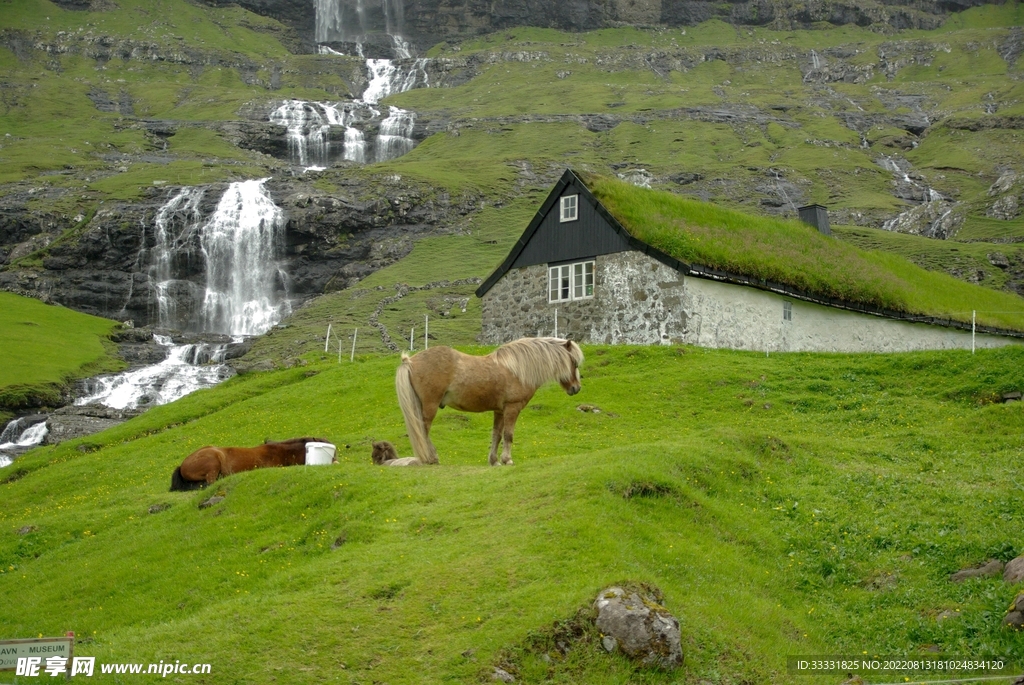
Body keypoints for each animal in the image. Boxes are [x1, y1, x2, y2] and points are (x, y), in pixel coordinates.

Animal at [394, 337, 583, 466]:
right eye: (574, 362)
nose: (576, 388)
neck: (517, 370)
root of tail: (410, 361)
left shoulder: (499, 411)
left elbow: (496, 435)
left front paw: (494, 461)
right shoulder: (512, 408)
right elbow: (508, 435)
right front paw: (507, 460)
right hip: (430, 406)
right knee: (423, 430)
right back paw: (430, 458)